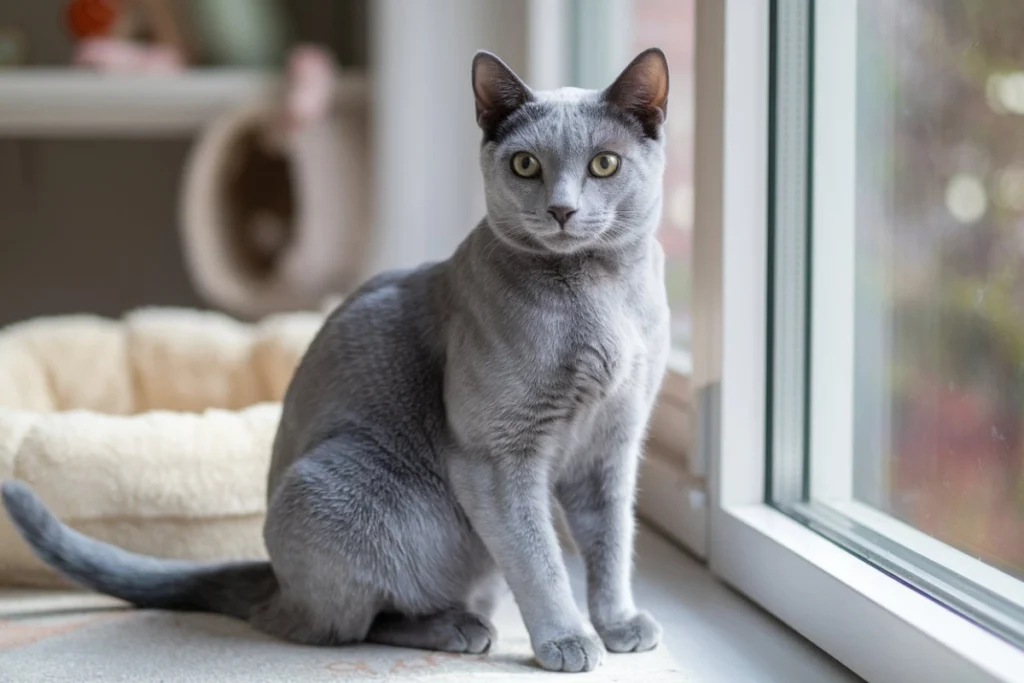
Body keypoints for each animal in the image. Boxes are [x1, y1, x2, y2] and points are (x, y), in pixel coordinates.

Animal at [2, 48, 671, 671]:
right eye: (526, 164)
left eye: (604, 164)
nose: (561, 209)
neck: (601, 296)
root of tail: (276, 582)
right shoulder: (498, 458)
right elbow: (540, 561)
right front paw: (568, 641)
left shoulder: (612, 445)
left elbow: (612, 545)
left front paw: (618, 624)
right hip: (348, 484)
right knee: (345, 625)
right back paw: (455, 628)